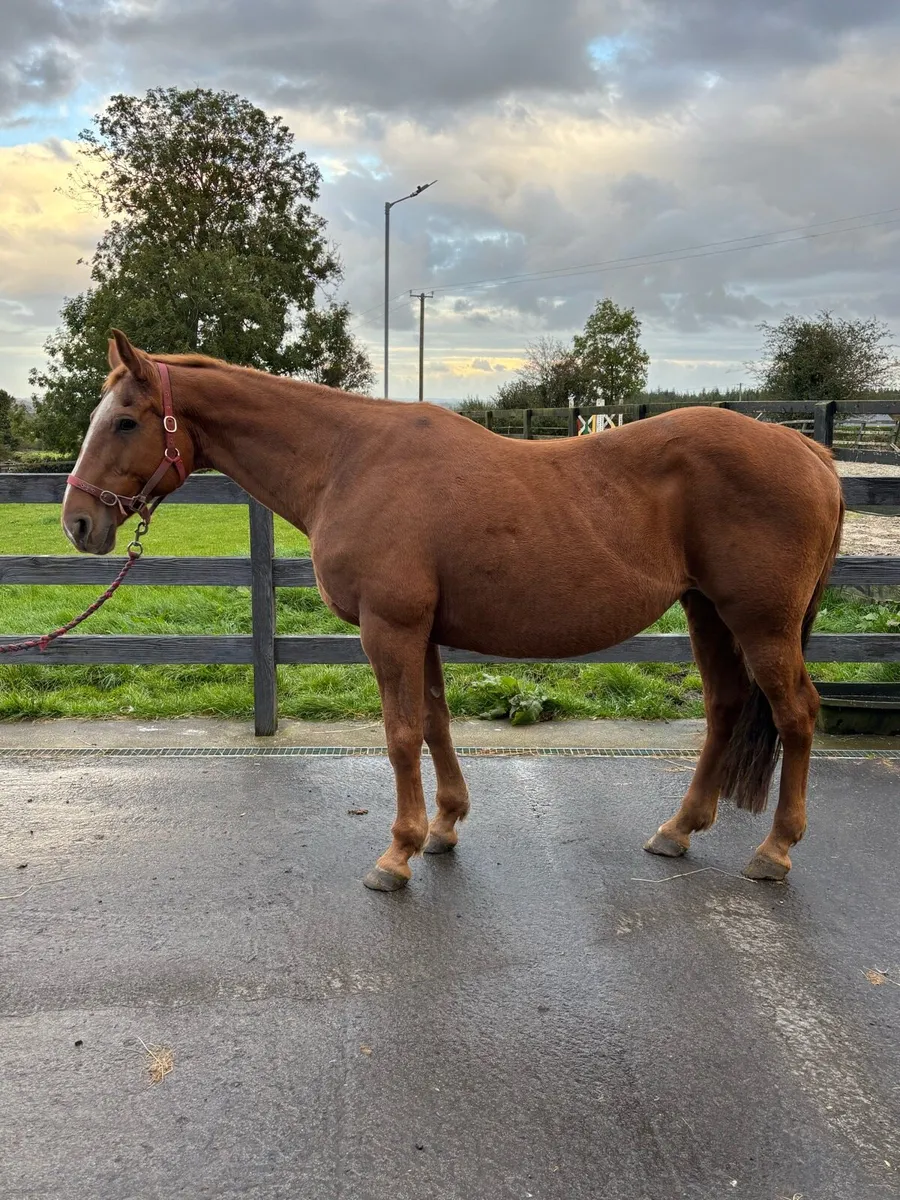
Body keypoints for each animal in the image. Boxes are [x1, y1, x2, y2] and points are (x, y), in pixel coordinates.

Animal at [62, 330, 844, 892]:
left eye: (125, 421)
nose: (77, 523)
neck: (348, 459)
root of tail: (809, 450)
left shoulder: (391, 630)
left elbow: (402, 734)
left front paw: (398, 853)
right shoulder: (423, 633)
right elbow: (436, 722)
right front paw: (443, 828)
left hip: (760, 623)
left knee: (797, 714)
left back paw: (775, 851)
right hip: (706, 612)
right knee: (724, 708)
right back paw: (678, 830)